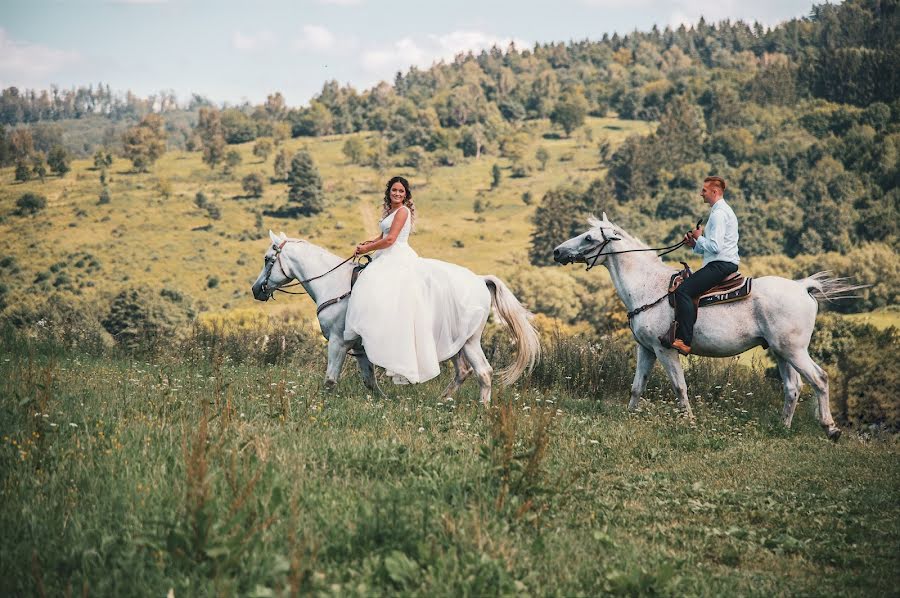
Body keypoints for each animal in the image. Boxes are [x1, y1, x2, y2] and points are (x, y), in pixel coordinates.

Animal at [250, 232, 536, 406]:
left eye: (267, 259)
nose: (255, 290)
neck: (334, 284)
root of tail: (479, 280)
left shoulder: (338, 342)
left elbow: (330, 380)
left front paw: (321, 406)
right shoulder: (359, 348)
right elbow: (369, 381)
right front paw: (384, 401)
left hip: (470, 342)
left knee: (484, 372)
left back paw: (482, 408)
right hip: (456, 343)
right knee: (464, 371)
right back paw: (443, 400)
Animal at [556, 214, 856, 440]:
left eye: (589, 238)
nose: (558, 251)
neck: (648, 287)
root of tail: (802, 287)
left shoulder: (665, 350)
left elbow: (679, 387)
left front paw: (689, 422)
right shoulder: (646, 350)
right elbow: (637, 386)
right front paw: (631, 416)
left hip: (794, 350)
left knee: (819, 379)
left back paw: (831, 429)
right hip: (781, 352)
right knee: (792, 388)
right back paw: (783, 427)